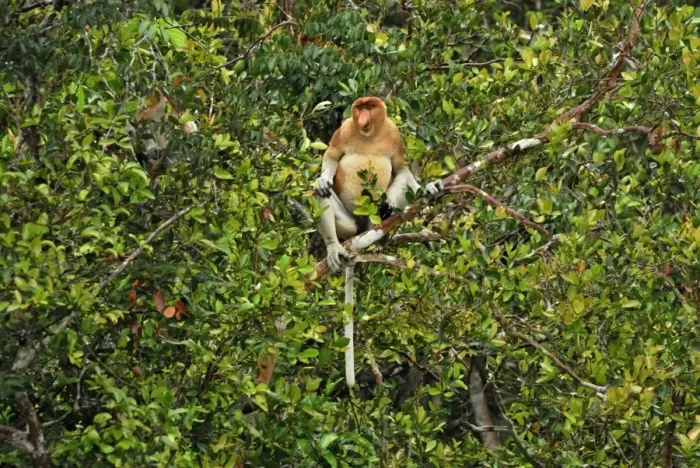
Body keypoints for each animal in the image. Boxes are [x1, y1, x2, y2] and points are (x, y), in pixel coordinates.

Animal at [313, 96, 443, 388]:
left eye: (369, 108)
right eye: (359, 108)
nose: (363, 117)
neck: (369, 135)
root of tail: (359, 231)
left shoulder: (394, 135)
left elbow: (402, 168)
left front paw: (428, 189)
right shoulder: (345, 129)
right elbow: (331, 157)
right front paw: (323, 178)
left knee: (401, 179)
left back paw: (387, 215)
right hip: (348, 224)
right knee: (321, 195)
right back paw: (334, 247)